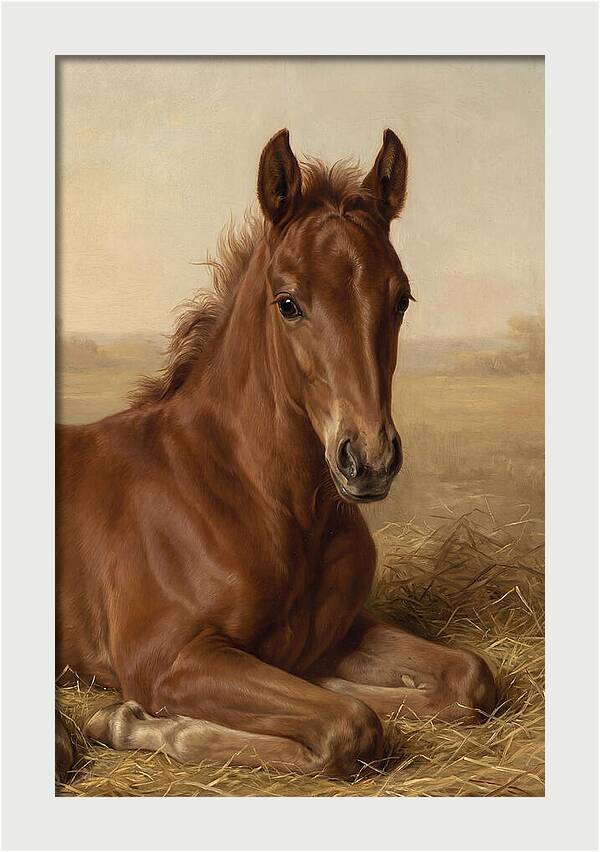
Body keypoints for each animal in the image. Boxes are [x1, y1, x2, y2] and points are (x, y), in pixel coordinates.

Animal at [56, 129, 496, 781]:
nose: (369, 459)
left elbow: (468, 678)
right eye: (287, 302)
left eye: (402, 299)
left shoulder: (340, 633)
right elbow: (350, 725)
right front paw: (131, 721)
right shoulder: (165, 659)